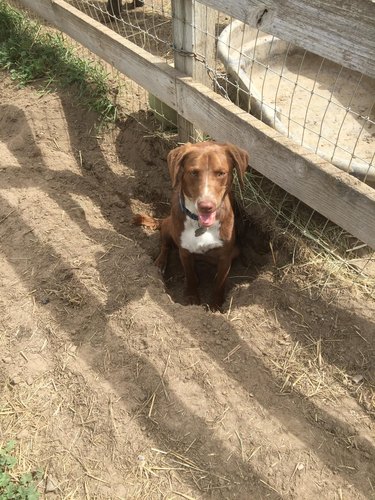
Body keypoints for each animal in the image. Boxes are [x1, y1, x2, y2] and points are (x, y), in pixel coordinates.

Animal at [136, 141, 250, 310]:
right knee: (165, 244)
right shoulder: (184, 251)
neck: (200, 225)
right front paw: (191, 297)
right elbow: (189, 276)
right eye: (194, 172)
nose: (206, 206)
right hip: (169, 225)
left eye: (221, 173)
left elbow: (220, 283)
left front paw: (216, 304)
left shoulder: (225, 256)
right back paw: (160, 263)